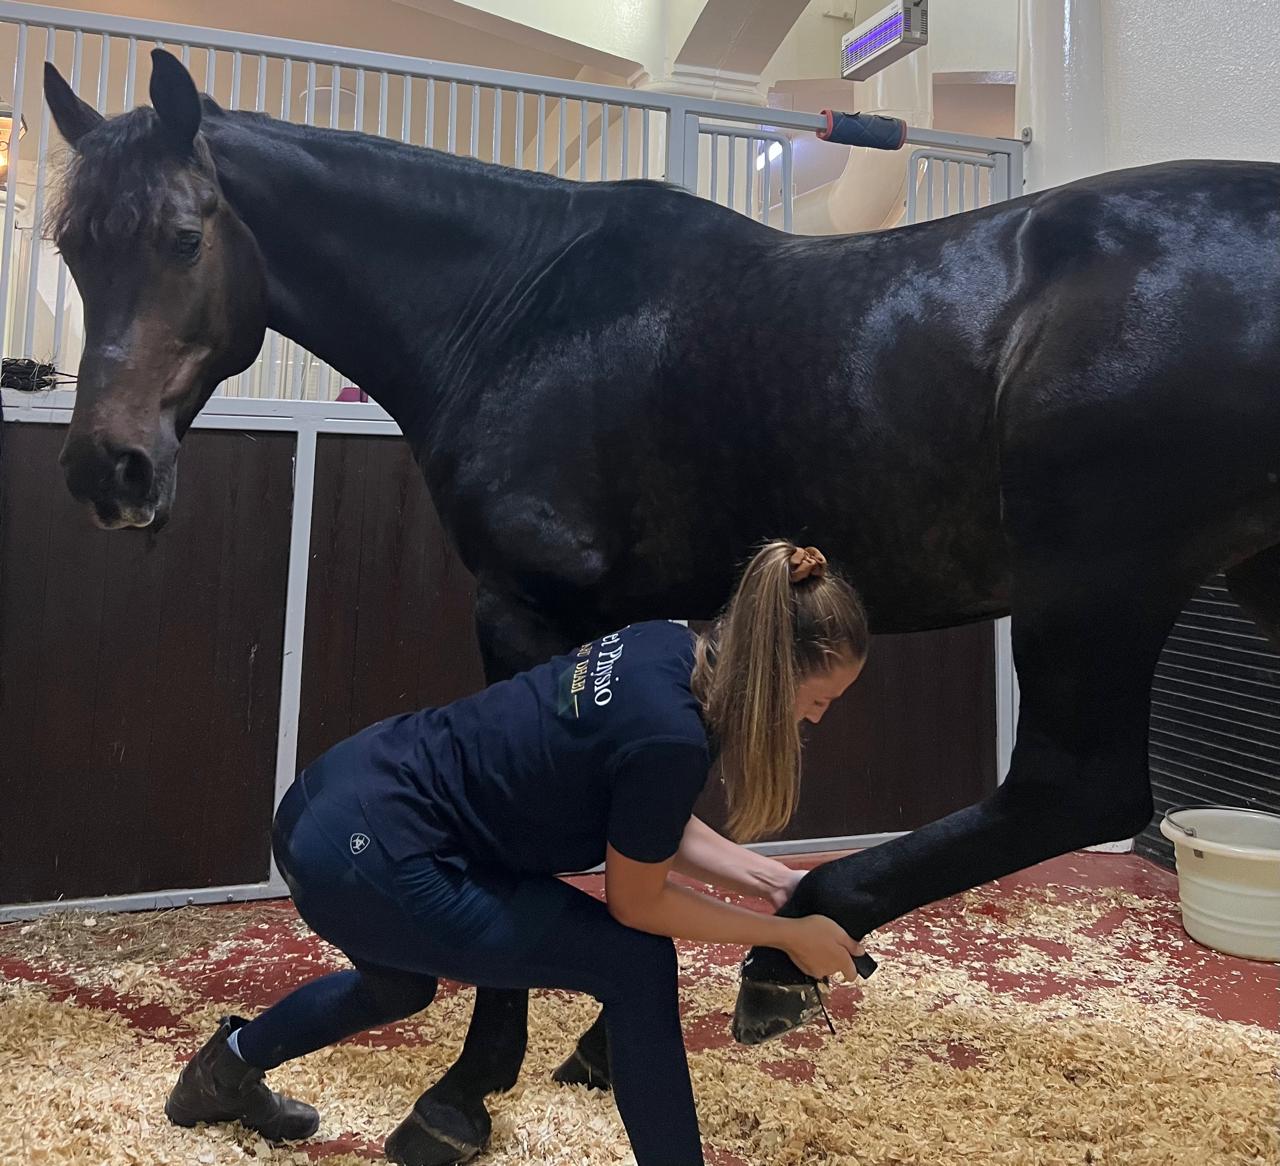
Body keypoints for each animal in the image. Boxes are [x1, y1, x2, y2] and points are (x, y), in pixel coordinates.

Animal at [40, 49, 1280, 1164]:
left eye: (183, 236)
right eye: (71, 246)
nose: (109, 470)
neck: (518, 312)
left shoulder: (524, 612)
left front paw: (464, 1092)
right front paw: (590, 1043)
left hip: (1094, 588)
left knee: (1072, 788)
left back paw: (786, 950)